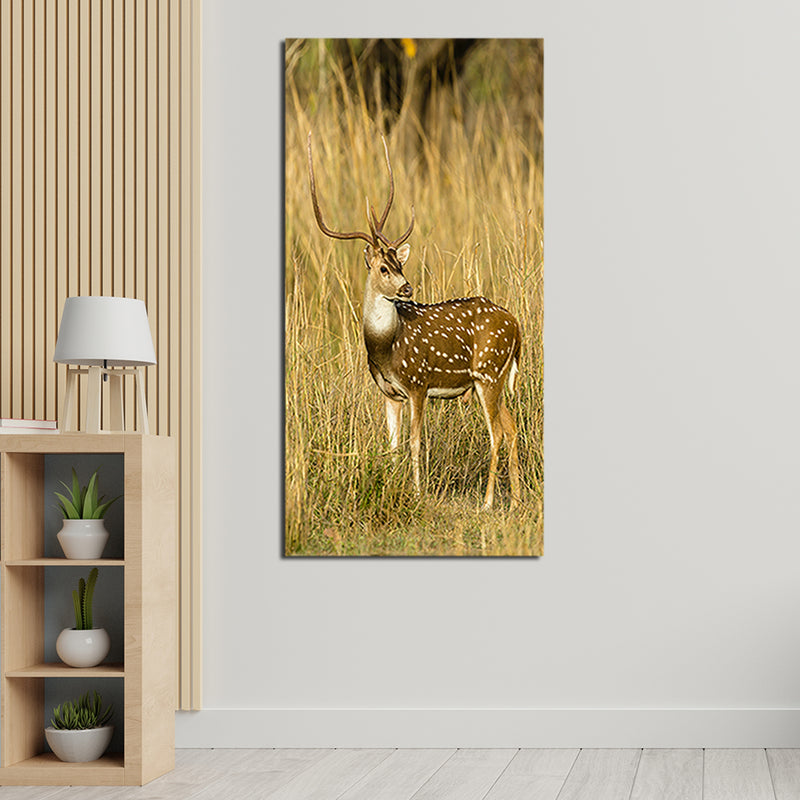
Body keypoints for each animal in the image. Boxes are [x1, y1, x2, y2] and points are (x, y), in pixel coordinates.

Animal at [307, 133, 522, 509]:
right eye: (383, 268)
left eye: (400, 264)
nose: (407, 288)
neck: (386, 348)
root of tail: (517, 326)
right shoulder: (389, 393)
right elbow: (392, 446)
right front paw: (394, 485)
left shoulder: (418, 383)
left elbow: (416, 442)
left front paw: (418, 493)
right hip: (494, 378)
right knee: (511, 429)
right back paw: (518, 498)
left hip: (488, 371)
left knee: (496, 433)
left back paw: (488, 502)